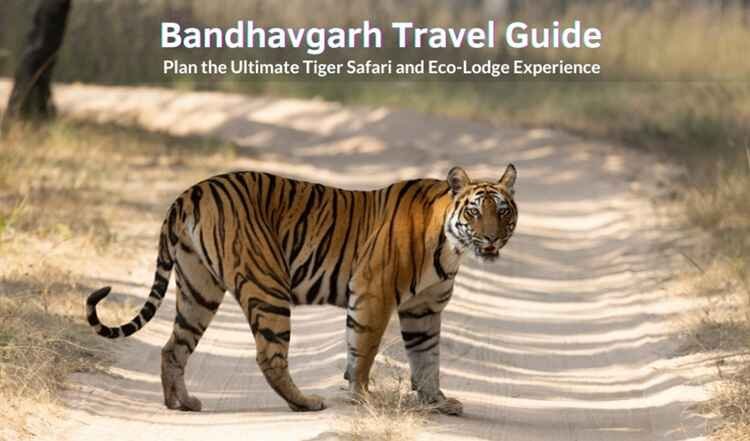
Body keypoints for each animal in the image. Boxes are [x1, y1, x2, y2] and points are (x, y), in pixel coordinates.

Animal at [86, 165, 518, 415]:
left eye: (503, 212)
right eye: (475, 212)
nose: (492, 239)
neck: (451, 246)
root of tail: (190, 192)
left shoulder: (423, 310)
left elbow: (427, 359)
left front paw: (437, 402)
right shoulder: (373, 293)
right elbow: (363, 351)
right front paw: (361, 397)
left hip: (198, 287)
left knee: (173, 347)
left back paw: (181, 403)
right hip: (268, 284)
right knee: (269, 356)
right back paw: (305, 402)